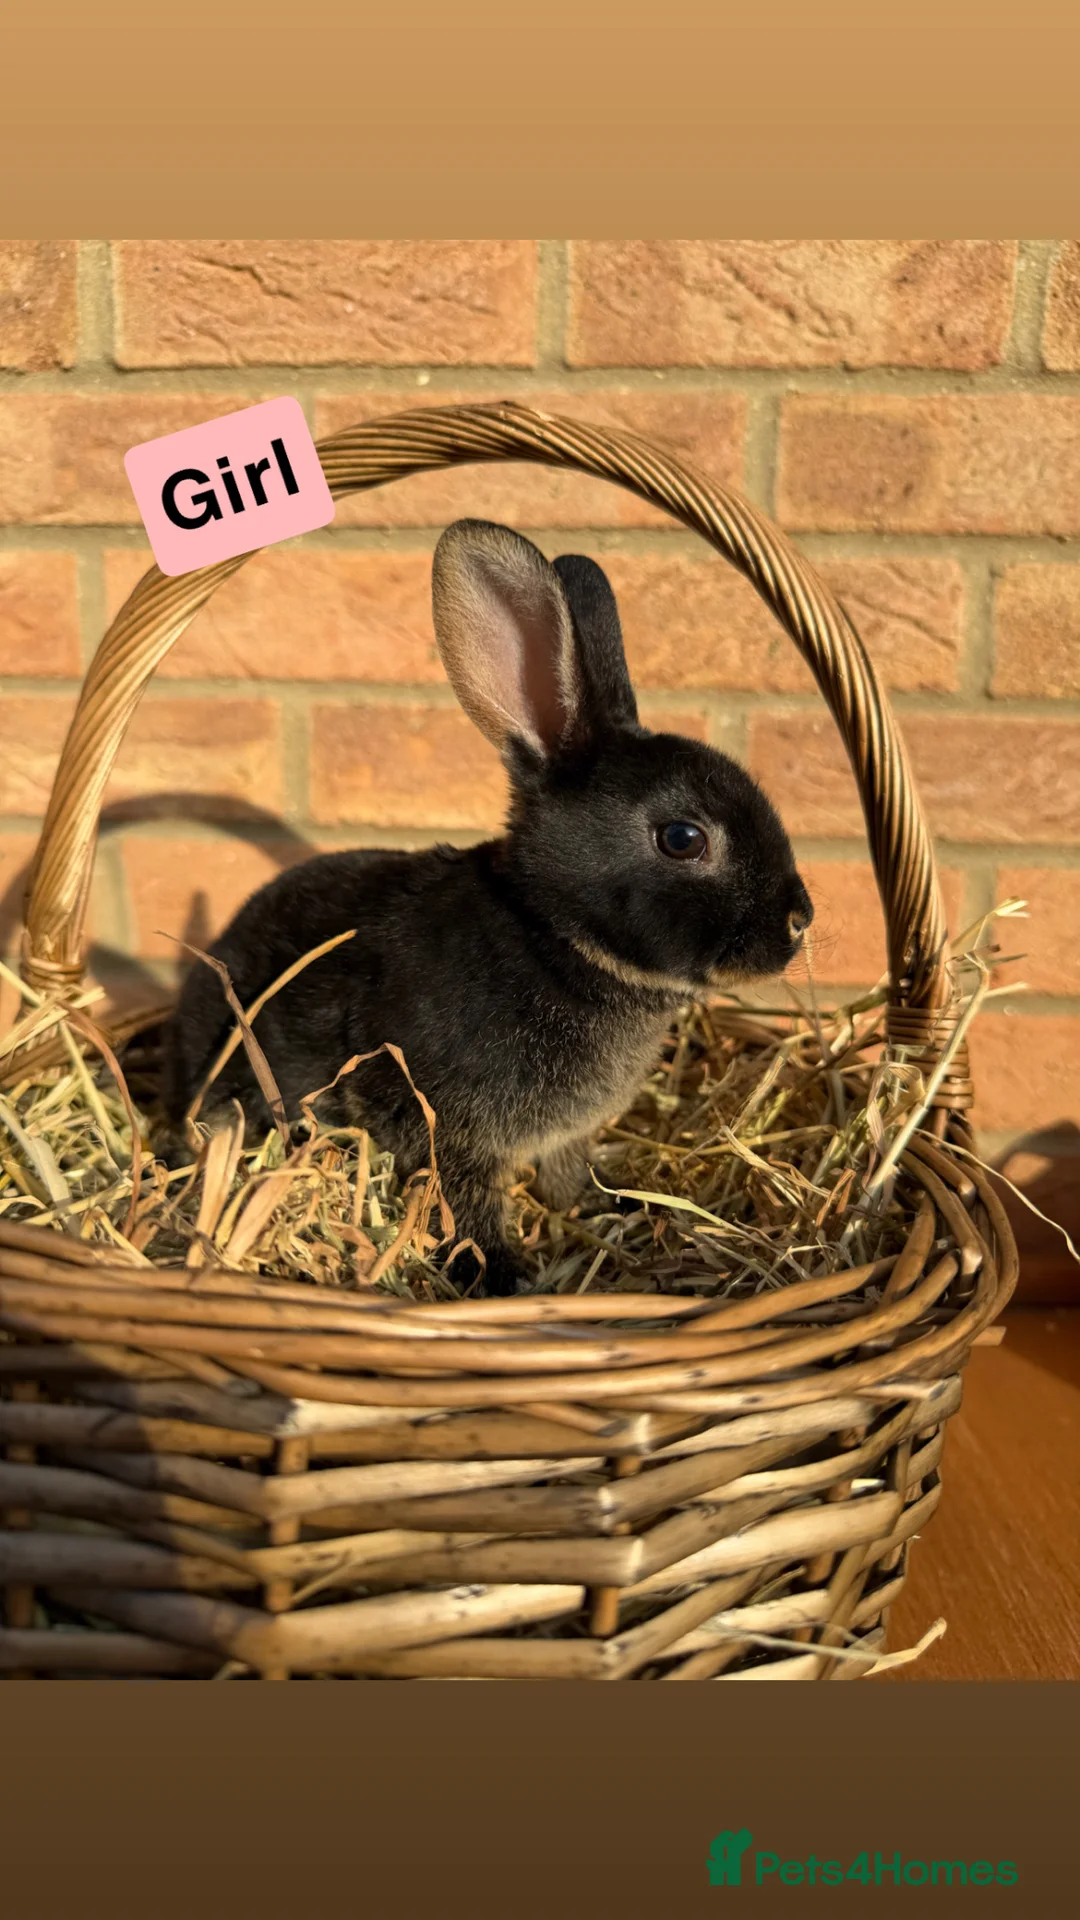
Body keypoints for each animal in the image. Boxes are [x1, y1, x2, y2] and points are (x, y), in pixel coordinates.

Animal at [158, 519, 813, 1296]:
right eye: (683, 839)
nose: (799, 921)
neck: (552, 933)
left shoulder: (561, 1135)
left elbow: (566, 1173)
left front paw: (604, 1207)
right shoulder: (449, 1130)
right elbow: (466, 1204)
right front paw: (501, 1276)